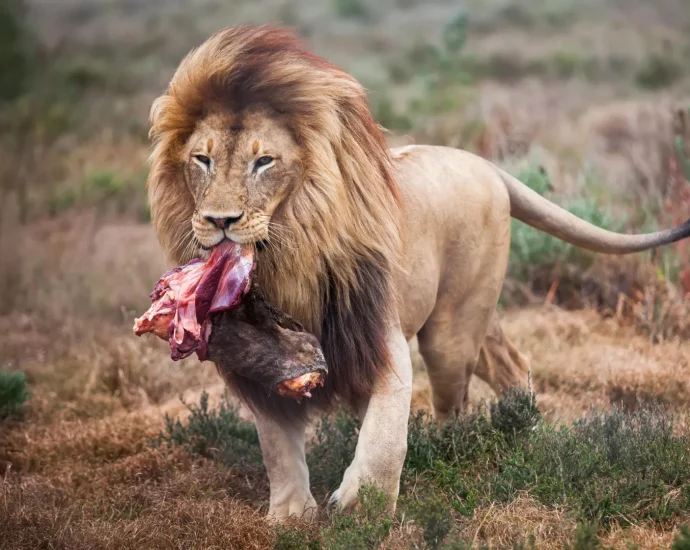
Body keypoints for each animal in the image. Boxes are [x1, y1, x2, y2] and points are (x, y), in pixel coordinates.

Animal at [146, 26, 690, 520]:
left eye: (264, 161)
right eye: (202, 159)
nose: (219, 220)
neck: (288, 258)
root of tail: (483, 164)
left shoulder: (377, 336)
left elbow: (386, 433)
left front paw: (362, 506)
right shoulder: (260, 368)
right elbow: (278, 448)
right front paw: (289, 516)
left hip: (450, 332)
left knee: (455, 401)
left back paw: (453, 452)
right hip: (473, 315)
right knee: (511, 364)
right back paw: (524, 432)